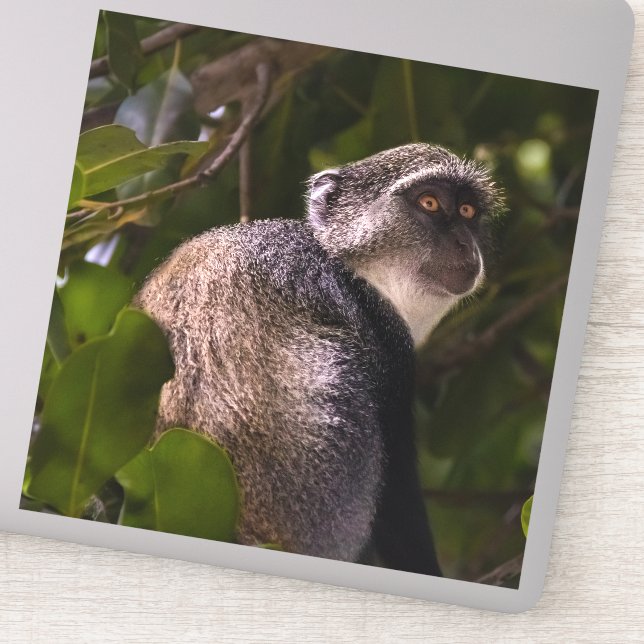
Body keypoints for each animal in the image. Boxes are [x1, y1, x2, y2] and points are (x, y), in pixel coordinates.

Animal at [134, 142, 503, 576]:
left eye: (467, 211)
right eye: (429, 202)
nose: (464, 242)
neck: (352, 267)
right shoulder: (385, 341)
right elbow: (396, 495)